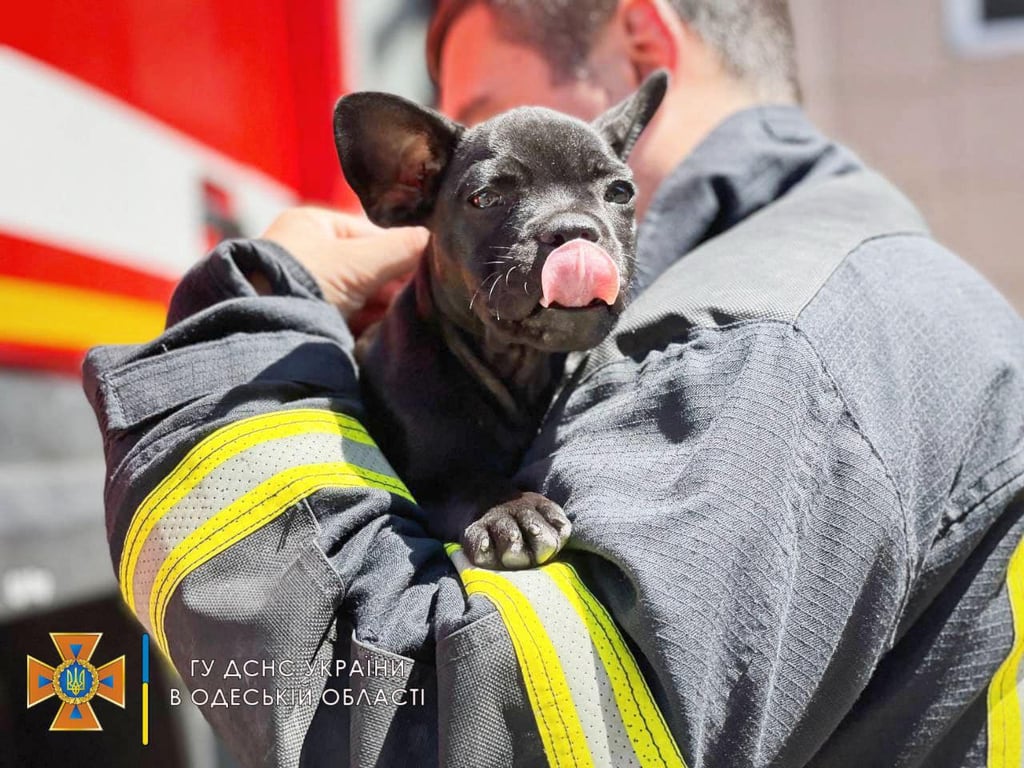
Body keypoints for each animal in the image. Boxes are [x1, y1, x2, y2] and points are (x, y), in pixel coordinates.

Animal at [331, 70, 667, 573]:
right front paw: (510, 511)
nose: (573, 229)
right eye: (485, 198)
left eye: (620, 193)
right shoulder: (433, 475)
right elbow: (468, 478)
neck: (515, 362)